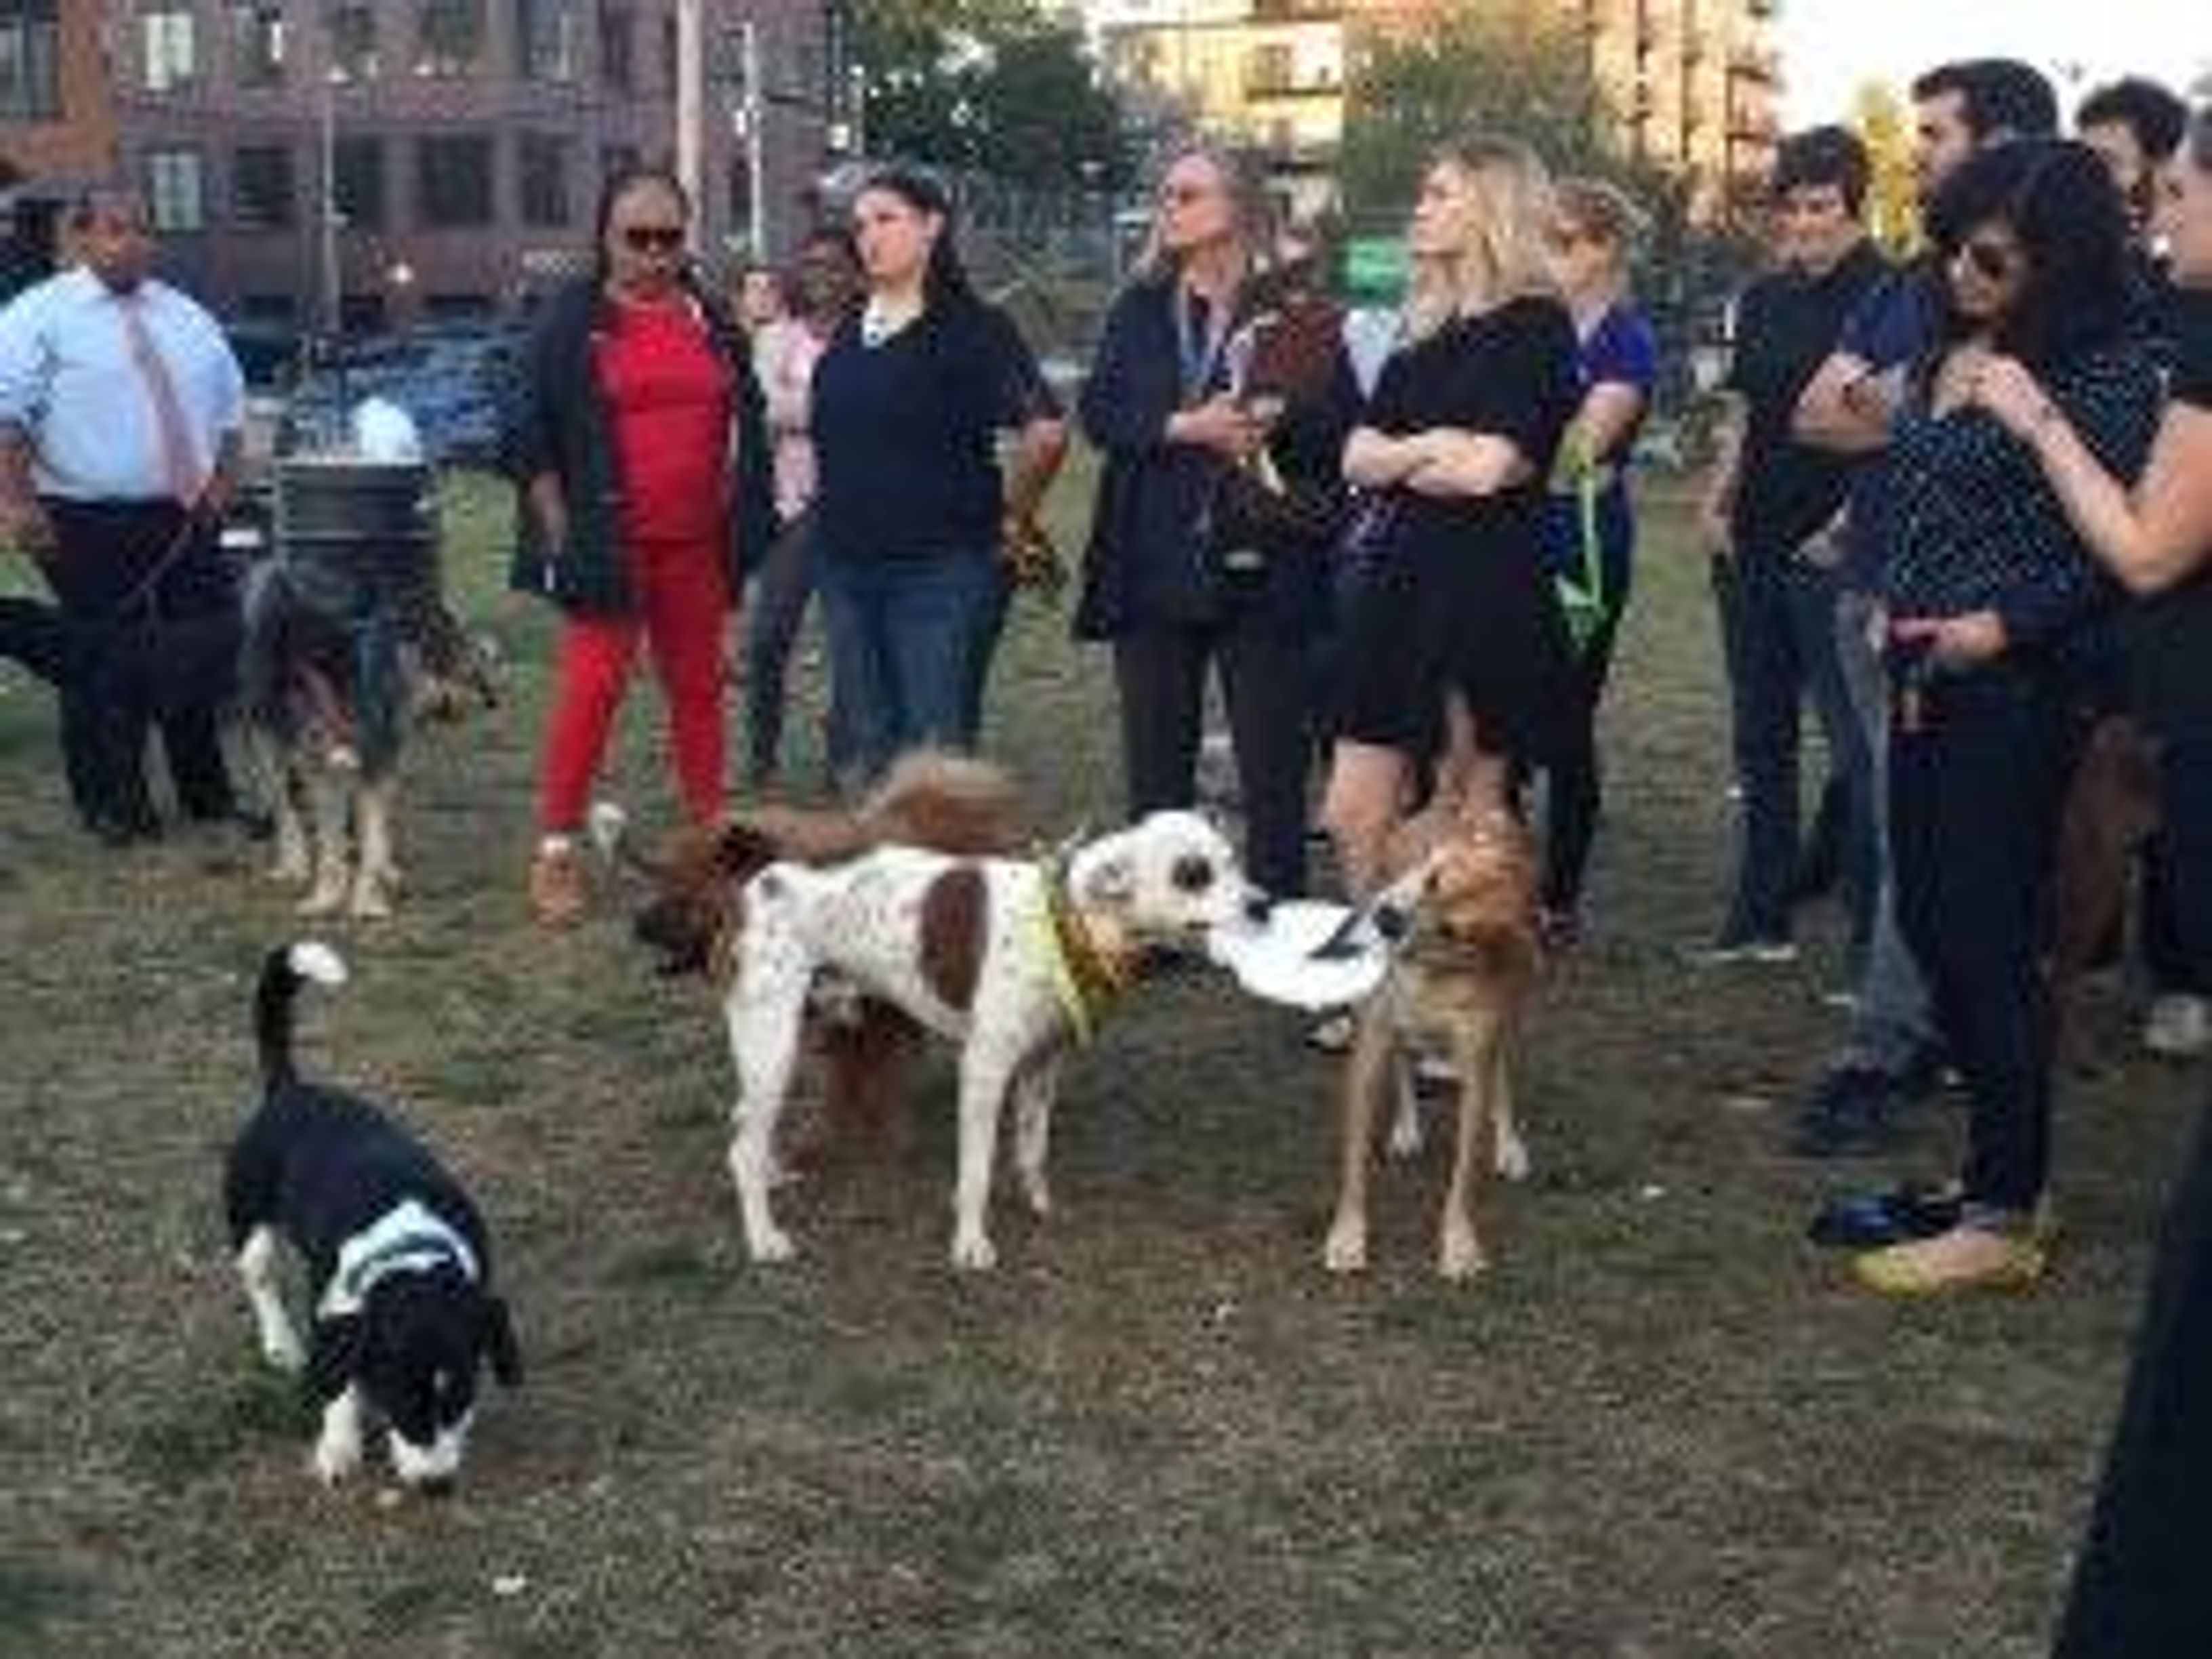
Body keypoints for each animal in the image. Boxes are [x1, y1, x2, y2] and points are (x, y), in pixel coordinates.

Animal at [225, 942, 522, 1504]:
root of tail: (289, 1090)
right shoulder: (333, 1316)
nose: (437, 1486)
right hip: (249, 1225)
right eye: (401, 1403)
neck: (410, 1248)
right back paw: (281, 1344)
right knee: (260, 1276)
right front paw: (338, 1449)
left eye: (460, 1399)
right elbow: (338, 1385)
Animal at [716, 814, 1256, 1274]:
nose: (1261, 902)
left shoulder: (1042, 1065)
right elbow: (976, 1172)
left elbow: (1032, 1148)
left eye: (1233, 859)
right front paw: (970, 1243)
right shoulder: (985, 1069)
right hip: (773, 1048)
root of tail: (766, 878)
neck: (1067, 923)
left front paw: (1038, 1203)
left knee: (746, 1125)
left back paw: (770, 1178)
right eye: (1193, 873)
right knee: (741, 1150)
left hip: (774, 1049)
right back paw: (764, 1237)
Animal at [1318, 805, 1548, 1283]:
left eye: (1452, 929)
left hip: (1509, 1017)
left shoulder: (1478, 1057)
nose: (1386, 918)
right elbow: (1354, 1162)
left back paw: (1509, 1144)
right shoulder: (1371, 1047)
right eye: (1432, 878)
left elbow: (1464, 1172)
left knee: (1502, 1073)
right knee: (1404, 1060)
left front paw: (1459, 1242)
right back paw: (1407, 1127)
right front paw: (1347, 1235)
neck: (1434, 972)